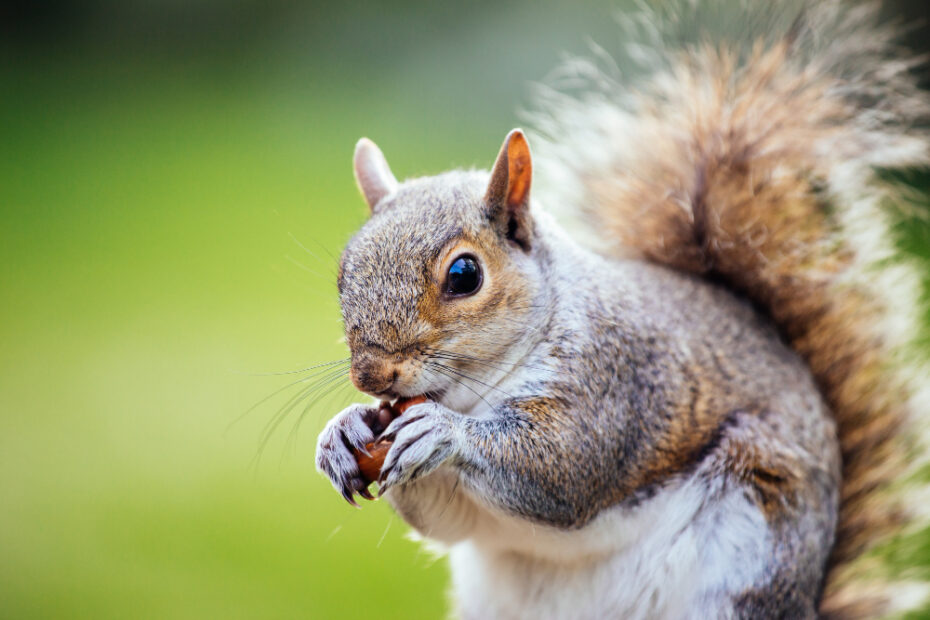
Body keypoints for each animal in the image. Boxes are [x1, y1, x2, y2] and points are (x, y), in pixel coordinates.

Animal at [314, 0, 930, 617]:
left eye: (465, 275)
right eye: (343, 272)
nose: (371, 375)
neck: (477, 389)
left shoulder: (614, 380)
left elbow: (563, 469)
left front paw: (443, 433)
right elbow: (442, 518)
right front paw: (343, 431)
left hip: (752, 548)